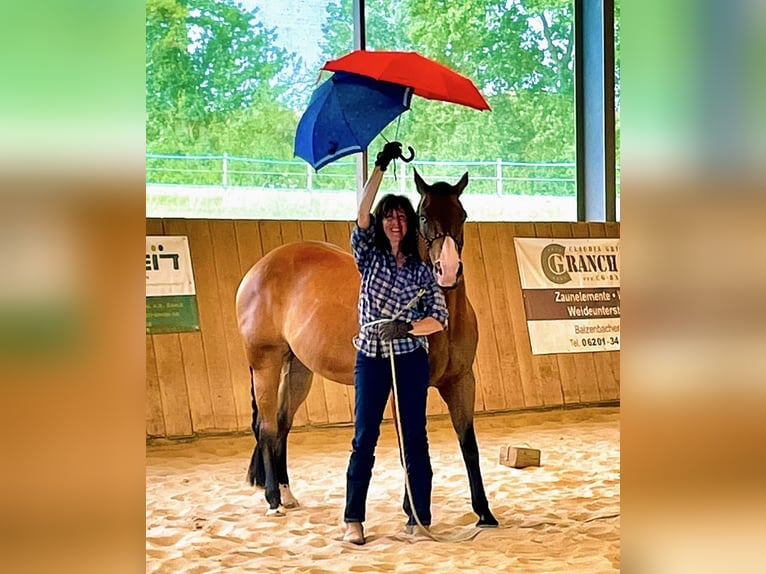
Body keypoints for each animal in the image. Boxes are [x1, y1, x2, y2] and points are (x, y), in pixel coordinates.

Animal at [235, 169, 498, 527]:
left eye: (463, 215)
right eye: (423, 216)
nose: (447, 270)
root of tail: (260, 268)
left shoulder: (461, 382)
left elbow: (469, 445)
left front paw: (484, 512)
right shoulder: (402, 388)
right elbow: (407, 447)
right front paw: (413, 512)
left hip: (298, 370)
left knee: (282, 424)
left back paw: (287, 494)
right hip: (266, 363)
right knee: (266, 427)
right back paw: (274, 499)